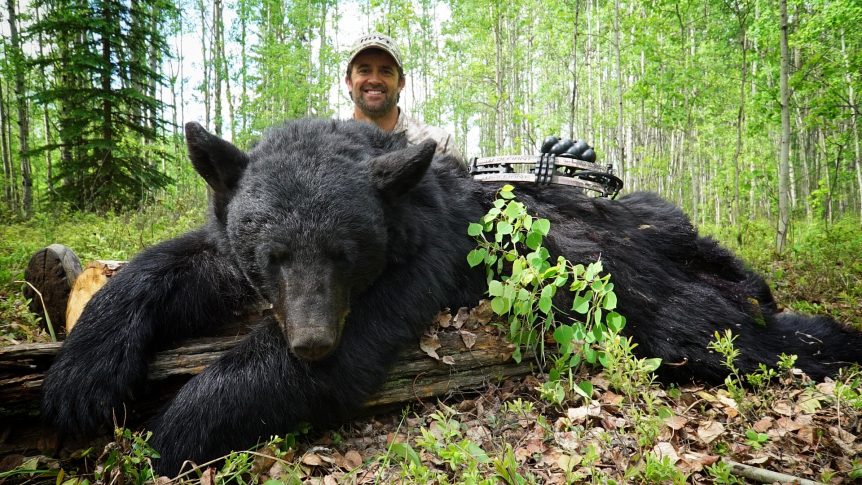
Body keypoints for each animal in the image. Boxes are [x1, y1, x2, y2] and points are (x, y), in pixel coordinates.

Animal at [42, 119, 862, 474]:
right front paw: (82, 377)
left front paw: (160, 436)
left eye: (344, 252)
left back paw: (823, 332)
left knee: (715, 326)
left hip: (643, 270)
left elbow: (327, 364)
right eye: (273, 255)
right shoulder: (235, 247)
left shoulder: (418, 261)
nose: (310, 338)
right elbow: (173, 264)